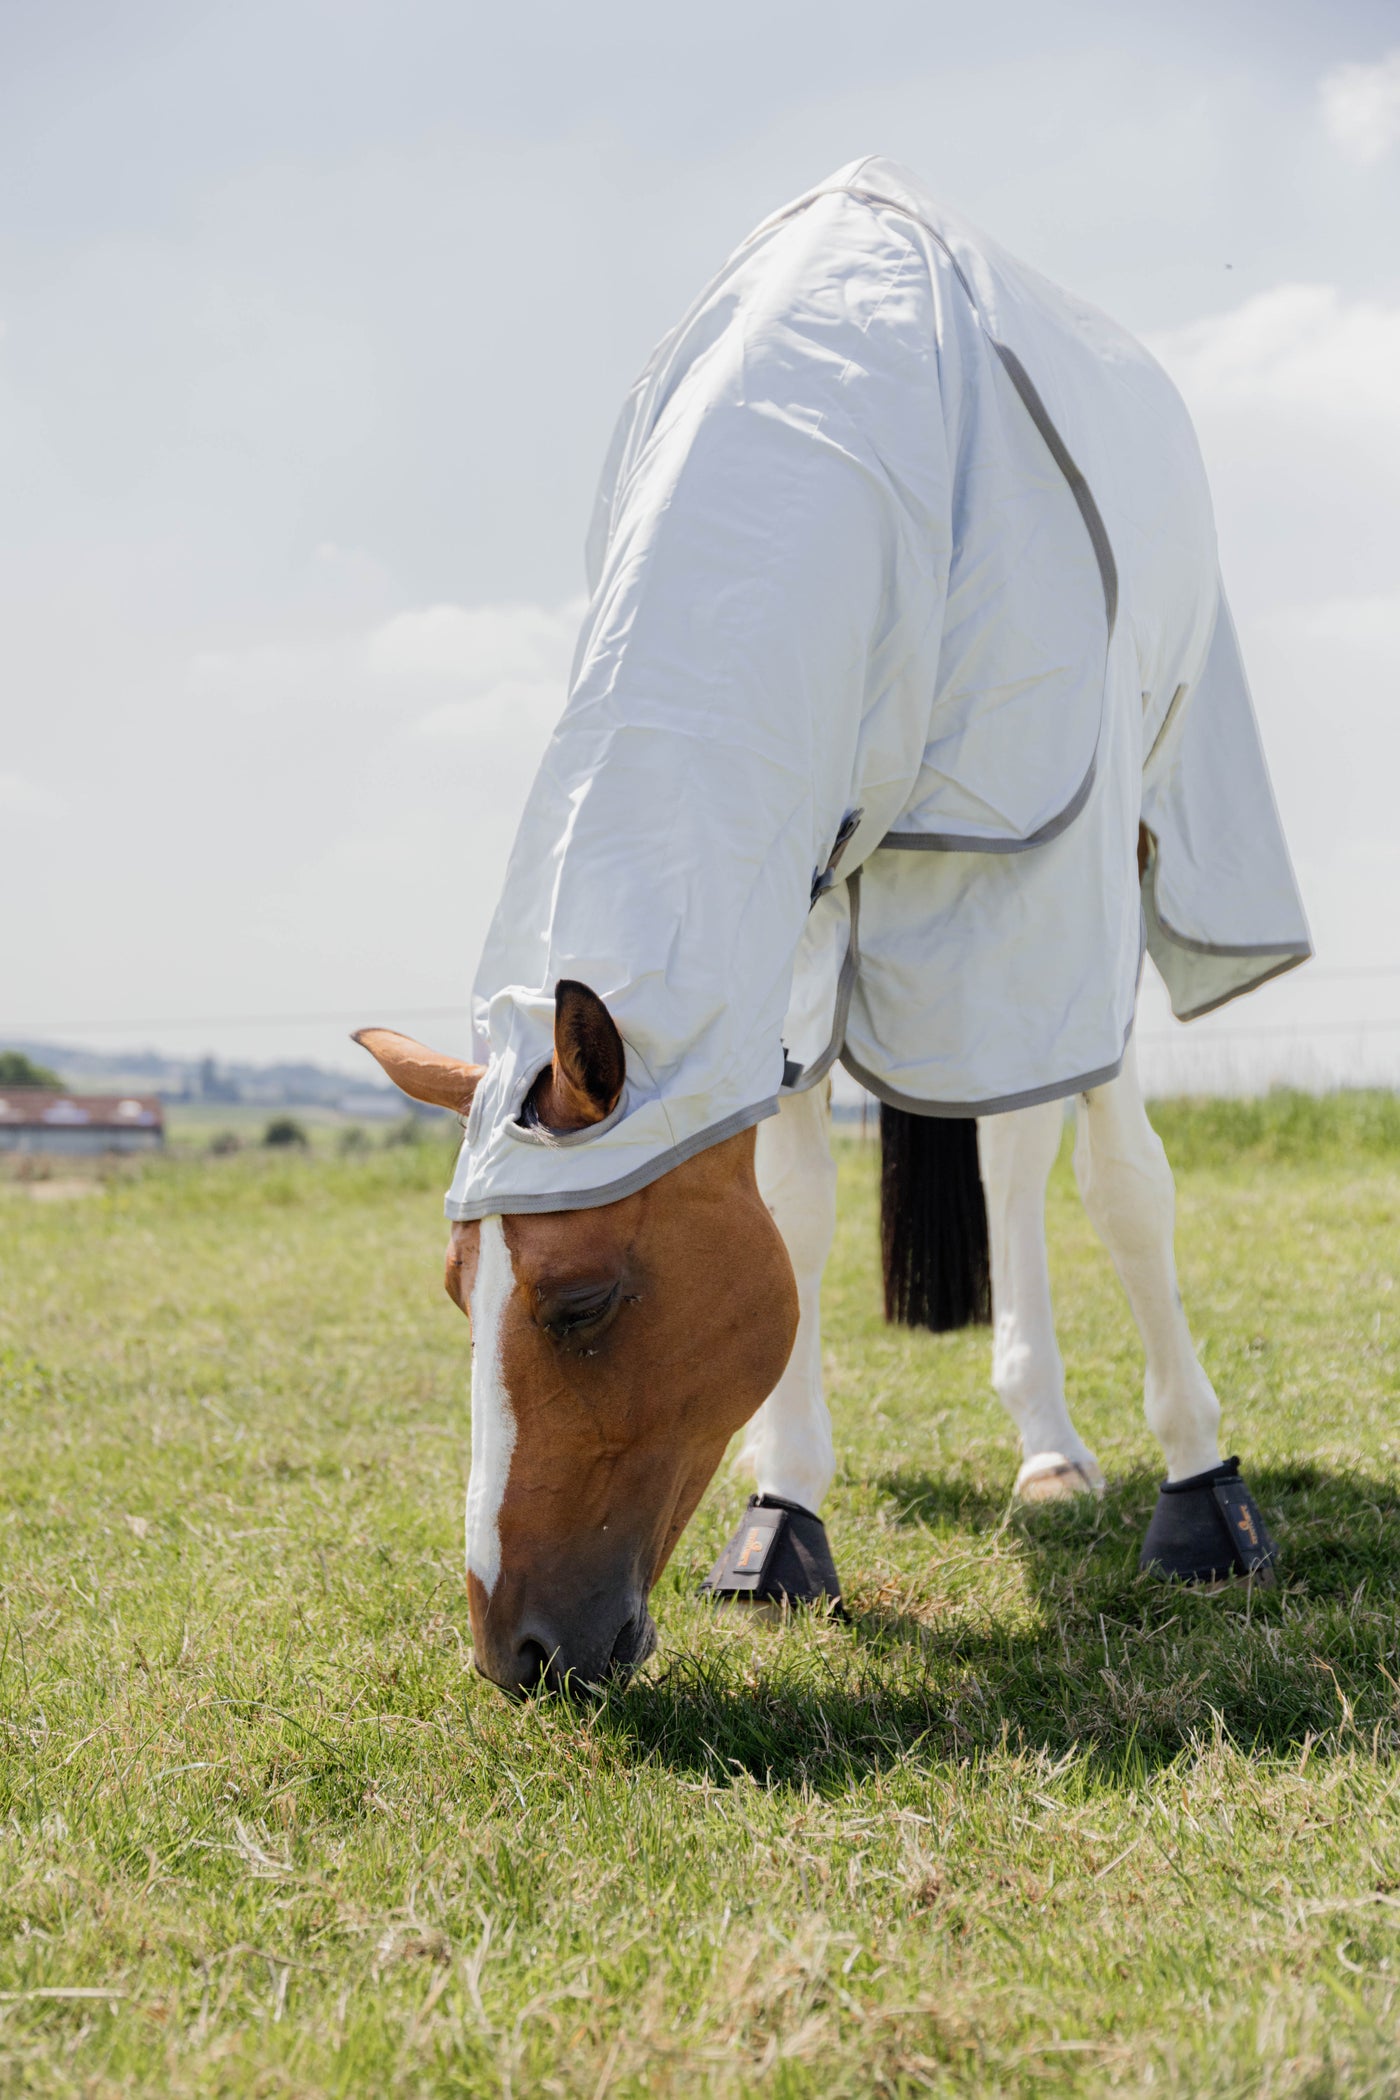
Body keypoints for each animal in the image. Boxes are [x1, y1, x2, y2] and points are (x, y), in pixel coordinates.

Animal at [356, 159, 1309, 1692]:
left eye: (577, 1305)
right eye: (457, 1294)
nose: (518, 1653)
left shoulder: (1058, 870)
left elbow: (1127, 1189)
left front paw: (1203, 1499)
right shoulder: (786, 915)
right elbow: (788, 1216)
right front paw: (783, 1514)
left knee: (1029, 1145)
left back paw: (1056, 1450)